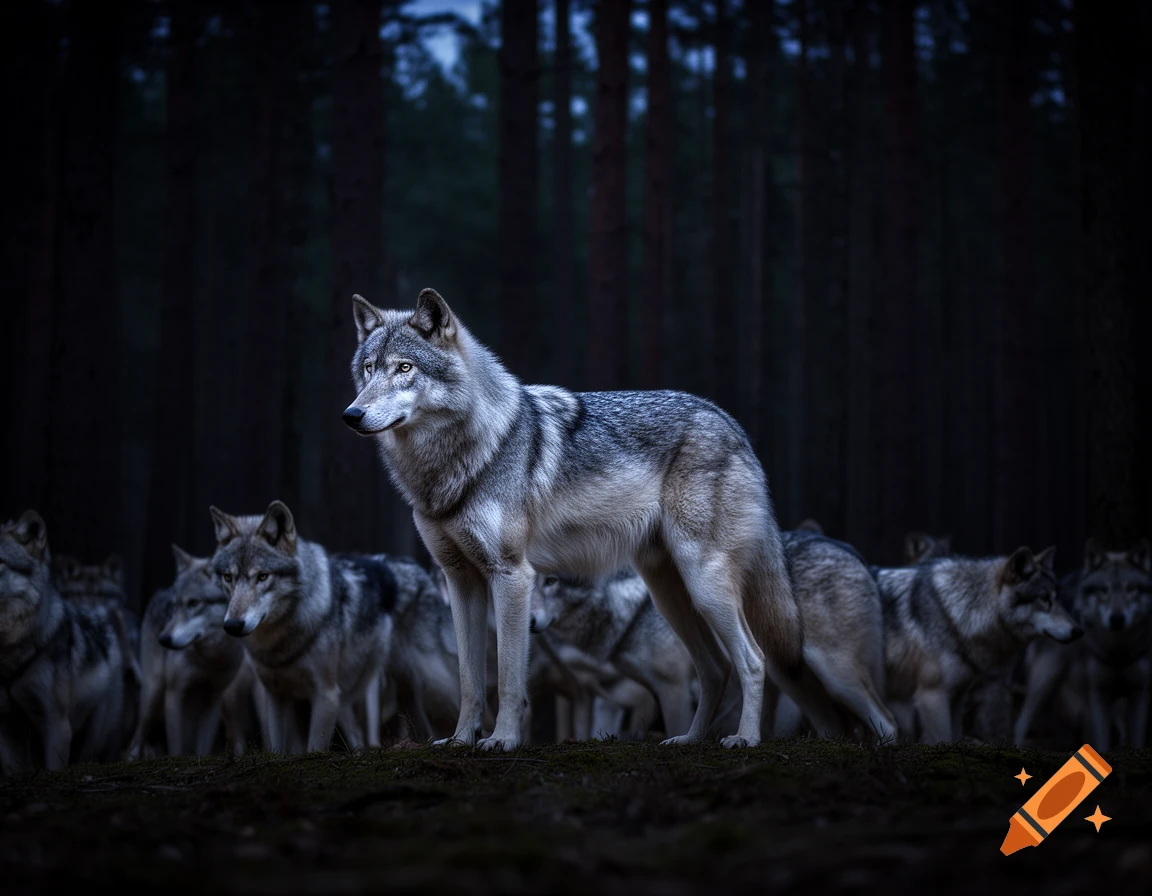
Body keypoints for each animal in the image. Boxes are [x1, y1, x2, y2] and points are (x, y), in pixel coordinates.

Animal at [128, 545, 253, 758]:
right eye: (174, 606)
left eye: (194, 603)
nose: (163, 639)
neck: (211, 658)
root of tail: (161, 592)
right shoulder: (174, 694)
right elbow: (176, 747)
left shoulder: (213, 699)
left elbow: (203, 747)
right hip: (153, 694)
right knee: (137, 737)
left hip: (224, 701)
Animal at [210, 501, 394, 754]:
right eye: (228, 577)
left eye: (263, 576)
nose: (233, 625)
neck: (279, 645)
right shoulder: (274, 696)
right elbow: (277, 746)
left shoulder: (326, 695)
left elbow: (315, 747)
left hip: (357, 695)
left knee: (363, 734)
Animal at [343, 288, 846, 750]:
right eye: (368, 370)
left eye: (404, 368)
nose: (352, 414)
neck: (462, 459)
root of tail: (732, 423)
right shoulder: (460, 580)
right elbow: (470, 680)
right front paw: (460, 741)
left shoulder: (512, 575)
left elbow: (507, 677)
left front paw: (502, 741)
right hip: (672, 594)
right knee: (716, 668)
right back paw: (688, 740)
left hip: (705, 586)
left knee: (753, 659)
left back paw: (743, 739)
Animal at [875, 547, 1083, 744]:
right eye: (1044, 599)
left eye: (1058, 598)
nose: (1079, 631)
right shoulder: (932, 696)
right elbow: (941, 737)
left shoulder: (957, 697)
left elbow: (953, 737)